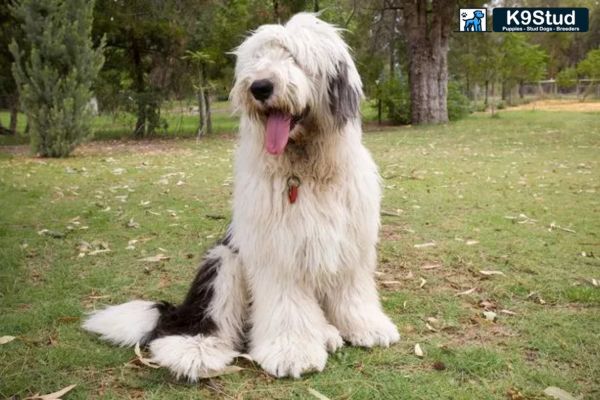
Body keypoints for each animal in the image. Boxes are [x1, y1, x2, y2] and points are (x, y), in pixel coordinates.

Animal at [79, 12, 398, 380]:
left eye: (295, 58)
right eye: (258, 58)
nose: (259, 87)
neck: (305, 170)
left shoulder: (351, 243)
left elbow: (352, 290)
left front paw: (366, 327)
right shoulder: (277, 251)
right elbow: (287, 304)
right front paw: (292, 352)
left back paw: (328, 333)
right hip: (223, 262)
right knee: (203, 322)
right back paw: (195, 350)